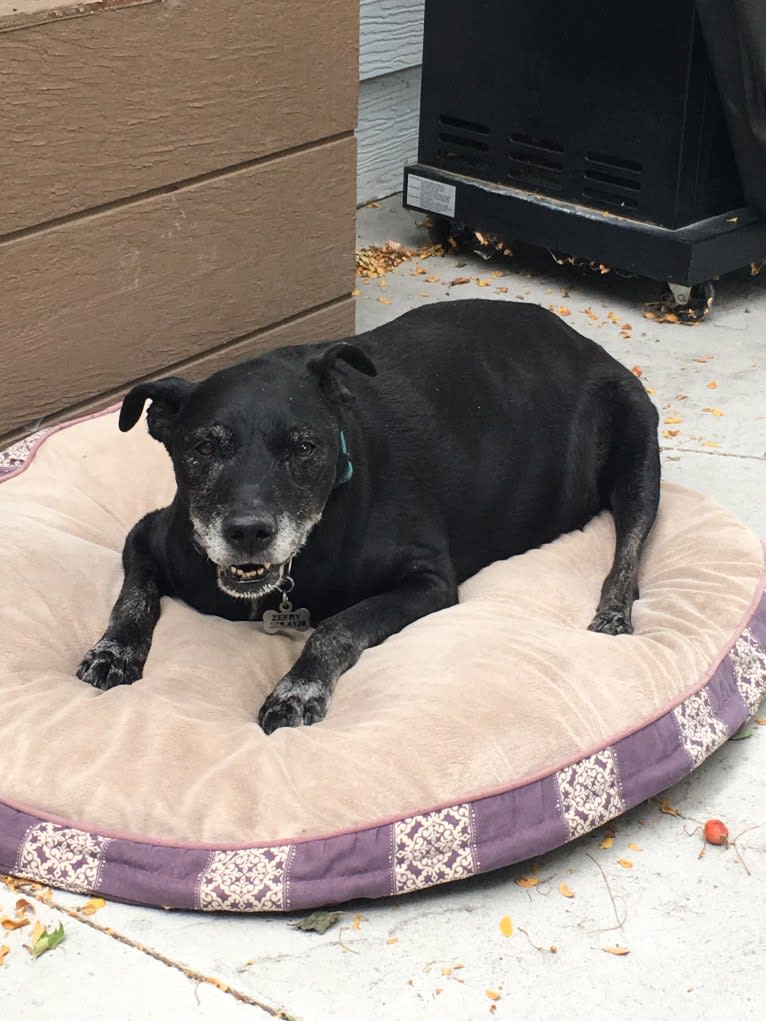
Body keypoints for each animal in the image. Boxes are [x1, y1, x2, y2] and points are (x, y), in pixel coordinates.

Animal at [79, 298, 665, 731]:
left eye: (305, 447)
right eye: (202, 447)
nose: (248, 532)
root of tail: (578, 337)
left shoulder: (429, 581)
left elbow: (336, 627)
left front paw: (297, 689)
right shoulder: (147, 535)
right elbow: (132, 598)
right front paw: (113, 652)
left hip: (637, 451)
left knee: (630, 543)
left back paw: (614, 611)